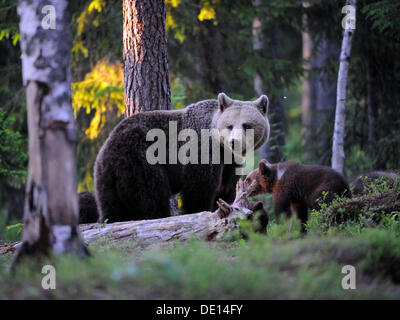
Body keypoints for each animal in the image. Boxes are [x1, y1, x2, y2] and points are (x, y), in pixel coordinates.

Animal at [79, 92, 270, 222]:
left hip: (107, 178)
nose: (234, 142)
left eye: (247, 125)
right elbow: (199, 189)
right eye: (229, 125)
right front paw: (200, 212)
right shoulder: (201, 150)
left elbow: (227, 188)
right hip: (141, 159)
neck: (222, 148)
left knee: (112, 207)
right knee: (152, 196)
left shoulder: (230, 163)